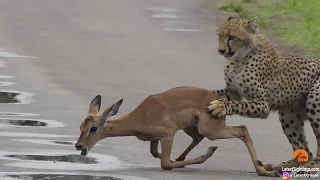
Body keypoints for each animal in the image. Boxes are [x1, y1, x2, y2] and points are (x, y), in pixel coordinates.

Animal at [206, 16, 320, 173]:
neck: (240, 59)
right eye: (220, 36)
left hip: (314, 101)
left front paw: (221, 107)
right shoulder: (233, 92)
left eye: (232, 37)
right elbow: (217, 93)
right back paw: (281, 166)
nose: (221, 50)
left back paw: (309, 166)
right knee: (304, 150)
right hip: (289, 115)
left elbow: (238, 104)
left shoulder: (262, 104)